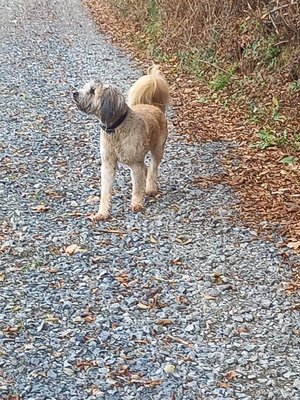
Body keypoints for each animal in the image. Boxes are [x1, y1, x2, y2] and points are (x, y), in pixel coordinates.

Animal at [73, 66, 170, 222]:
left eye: (93, 91)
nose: (74, 93)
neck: (116, 129)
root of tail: (154, 106)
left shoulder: (135, 163)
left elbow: (137, 187)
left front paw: (137, 203)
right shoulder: (108, 163)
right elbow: (106, 191)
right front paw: (102, 213)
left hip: (158, 149)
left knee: (153, 169)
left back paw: (150, 188)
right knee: (146, 169)